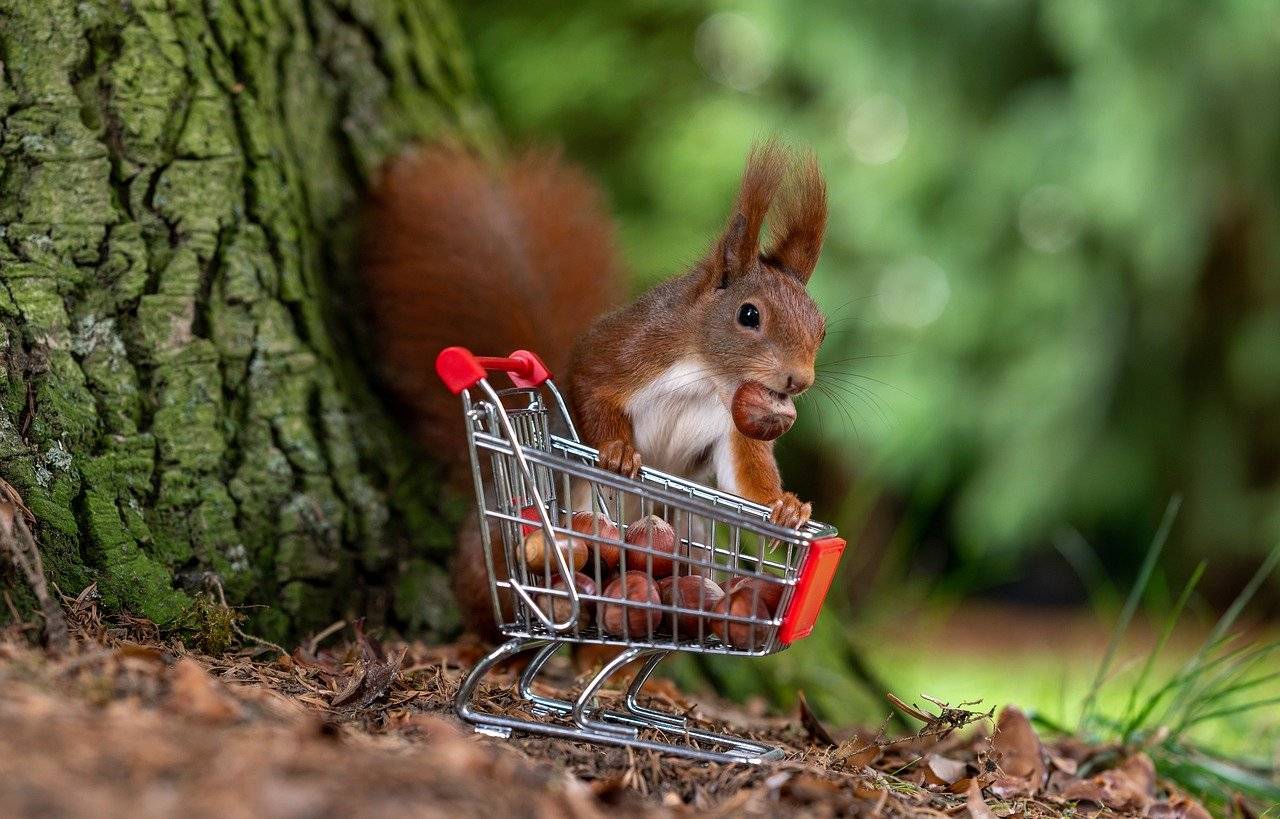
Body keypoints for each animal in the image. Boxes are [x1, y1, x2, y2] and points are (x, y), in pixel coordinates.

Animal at [360, 142, 829, 639]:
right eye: (748, 315)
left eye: (821, 329)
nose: (800, 380)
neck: (705, 378)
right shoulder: (625, 350)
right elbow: (593, 389)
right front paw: (619, 453)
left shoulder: (734, 428)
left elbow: (745, 477)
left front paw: (786, 507)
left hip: (693, 532)